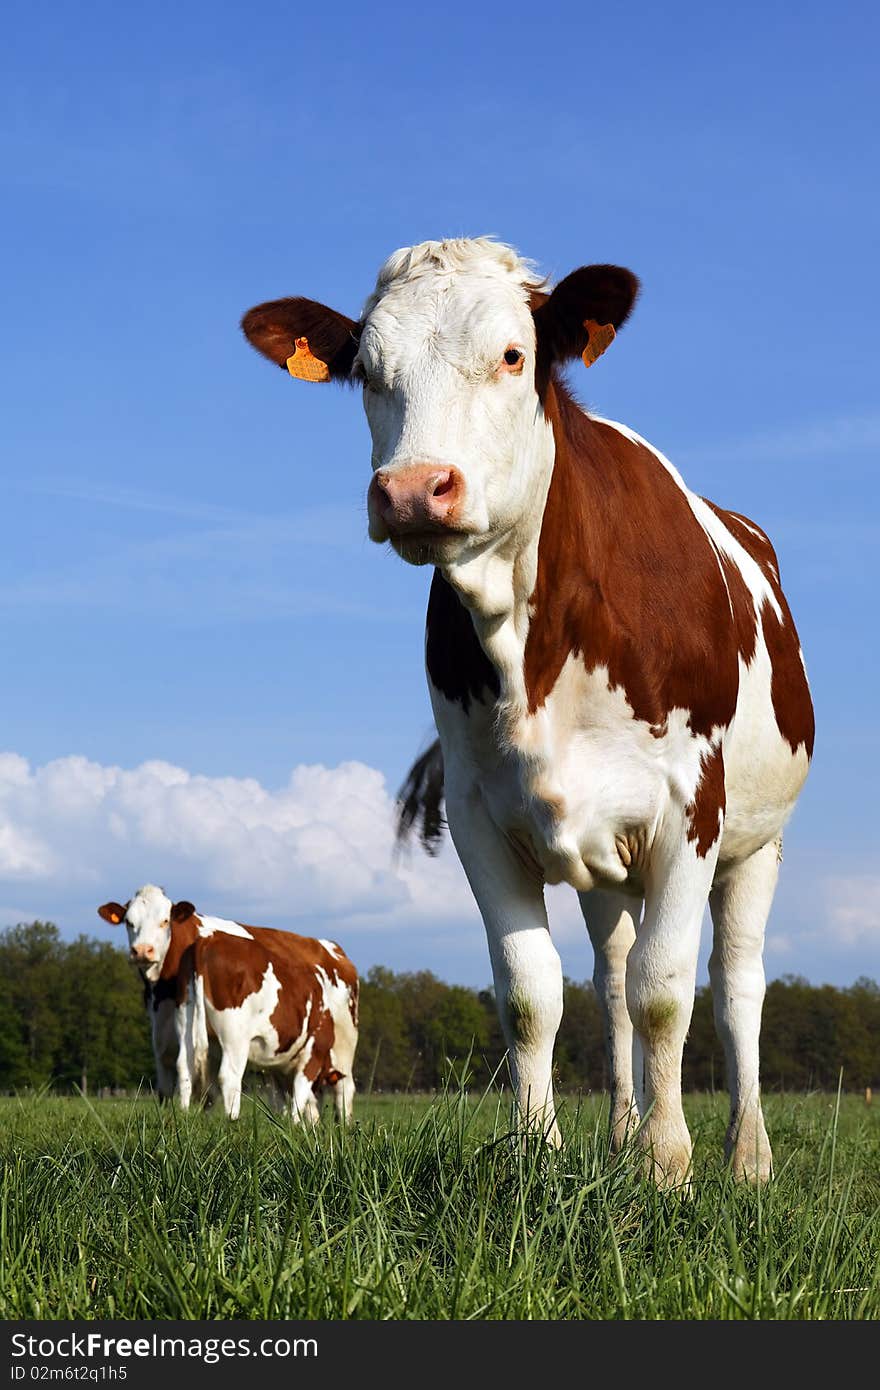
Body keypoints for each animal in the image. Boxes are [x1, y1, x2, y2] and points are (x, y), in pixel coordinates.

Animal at [95, 884, 355, 1123]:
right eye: (129, 922)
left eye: (165, 920)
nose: (141, 951)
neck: (161, 989)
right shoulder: (162, 1035)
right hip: (234, 1035)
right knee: (229, 1077)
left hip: (344, 1041)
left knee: (344, 1088)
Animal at [239, 236, 811, 1184]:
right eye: (367, 371)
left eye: (513, 355)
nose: (412, 490)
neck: (532, 644)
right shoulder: (479, 814)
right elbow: (532, 994)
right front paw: (540, 1152)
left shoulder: (689, 807)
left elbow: (666, 992)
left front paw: (668, 1165)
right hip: (608, 867)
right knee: (610, 979)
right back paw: (619, 1133)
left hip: (756, 845)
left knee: (736, 987)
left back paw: (746, 1156)